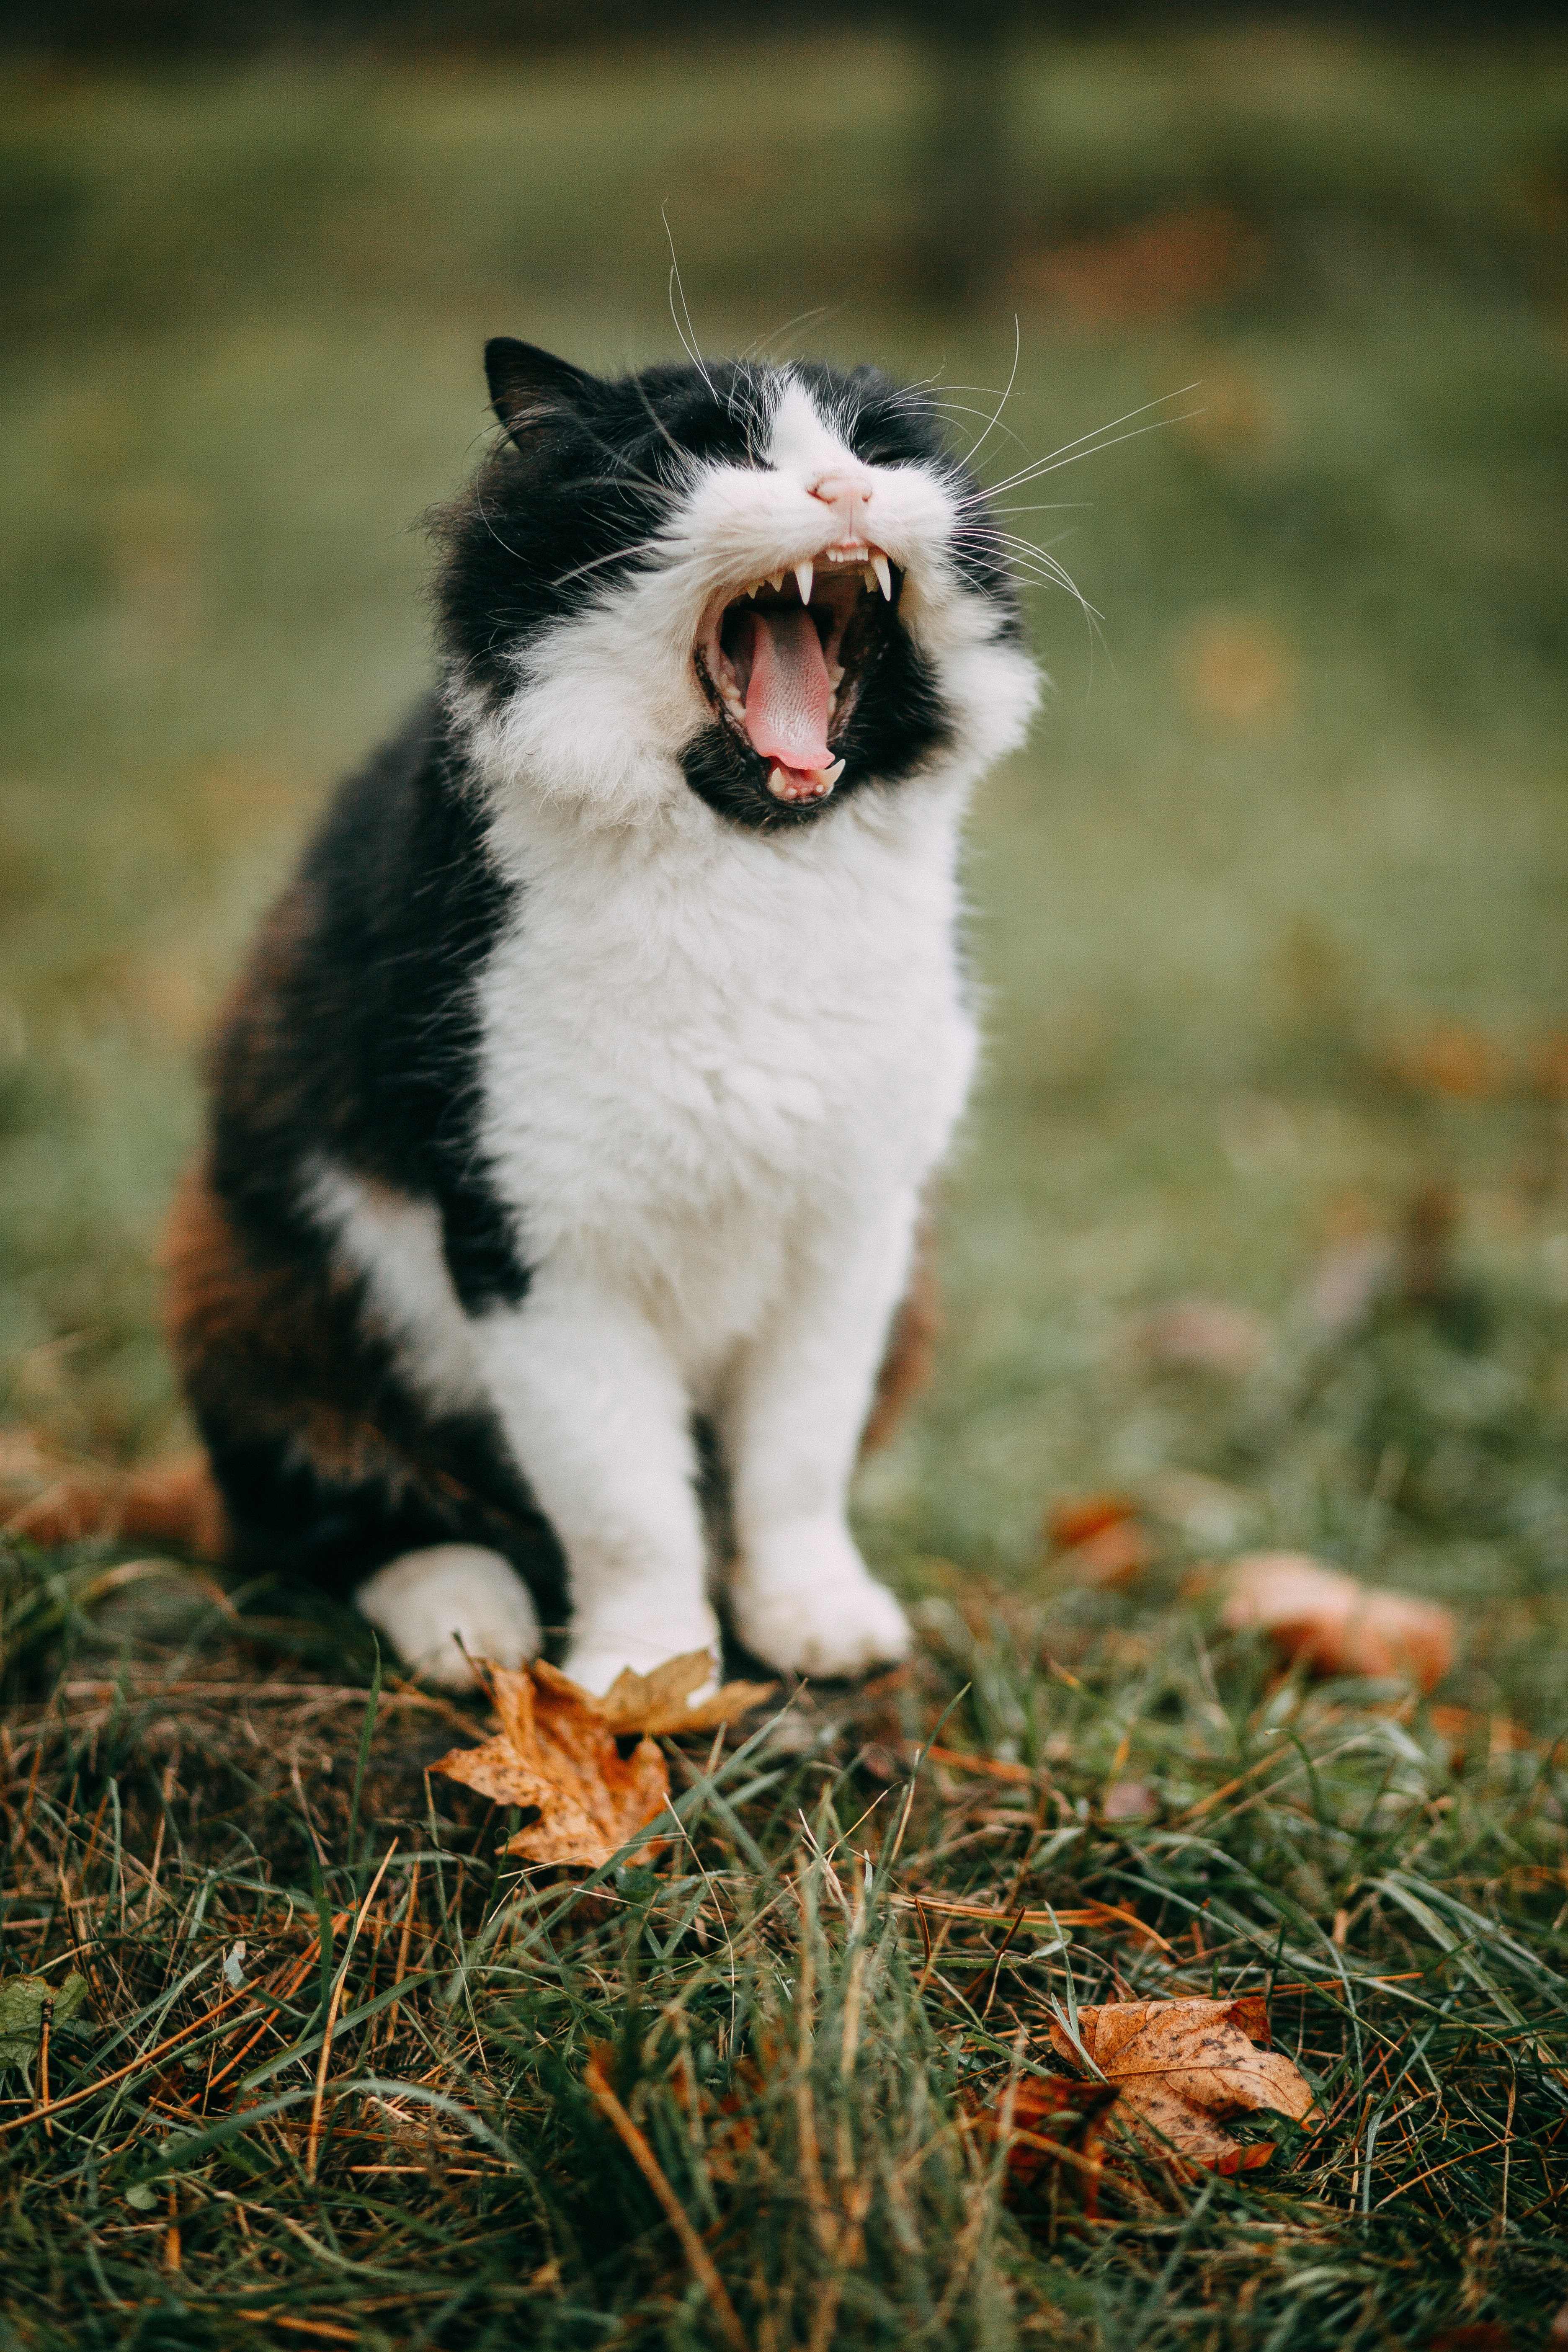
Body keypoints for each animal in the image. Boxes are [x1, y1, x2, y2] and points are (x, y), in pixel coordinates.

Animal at [162, 336, 1044, 1693]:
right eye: (715, 453)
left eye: (881, 452)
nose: (844, 491)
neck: (752, 876)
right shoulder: (534, 1246)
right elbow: (626, 1501)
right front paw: (645, 1681)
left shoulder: (855, 1232)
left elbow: (795, 1462)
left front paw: (812, 1619)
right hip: (243, 1280)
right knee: (344, 1514)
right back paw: (467, 1622)